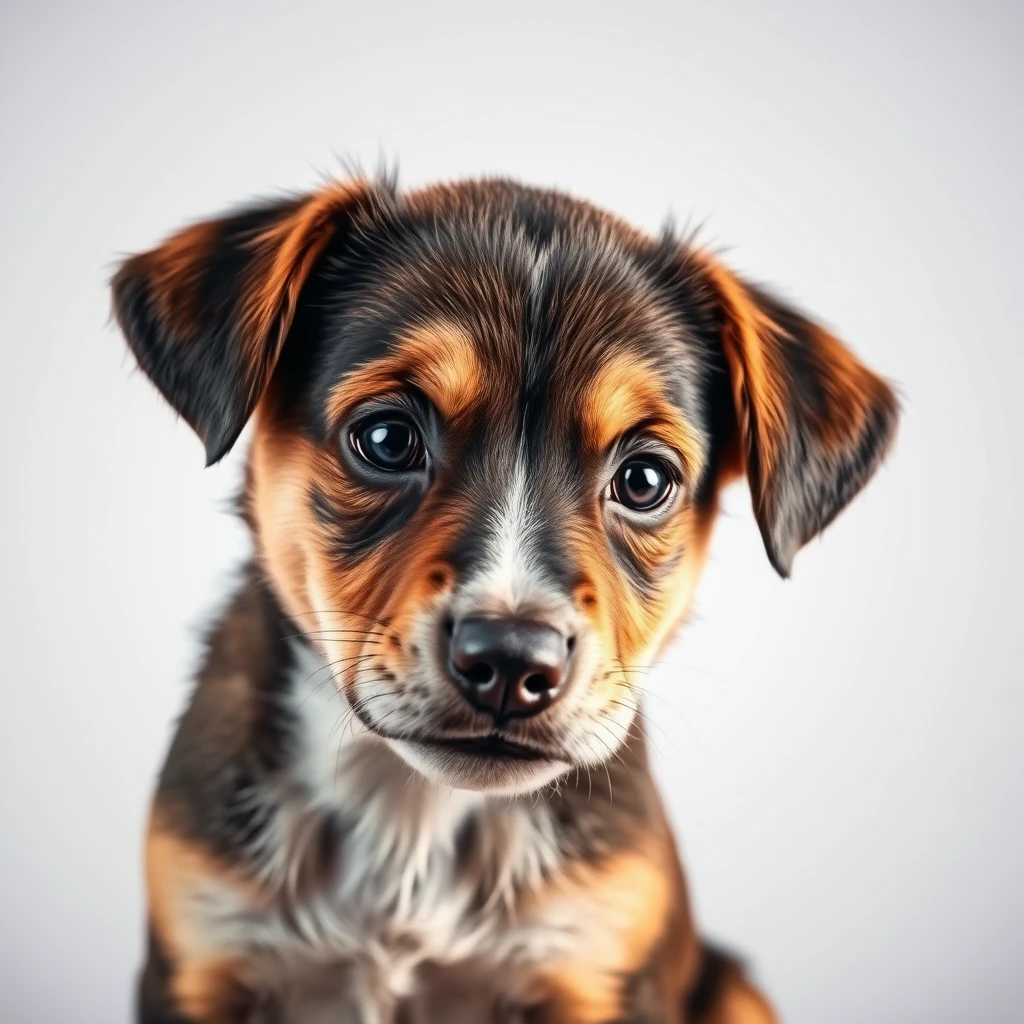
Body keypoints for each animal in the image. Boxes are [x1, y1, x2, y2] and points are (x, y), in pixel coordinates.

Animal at [114, 172, 897, 1019]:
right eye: (386, 439)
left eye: (644, 480)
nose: (513, 662)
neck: (413, 816)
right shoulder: (201, 958)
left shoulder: (597, 968)